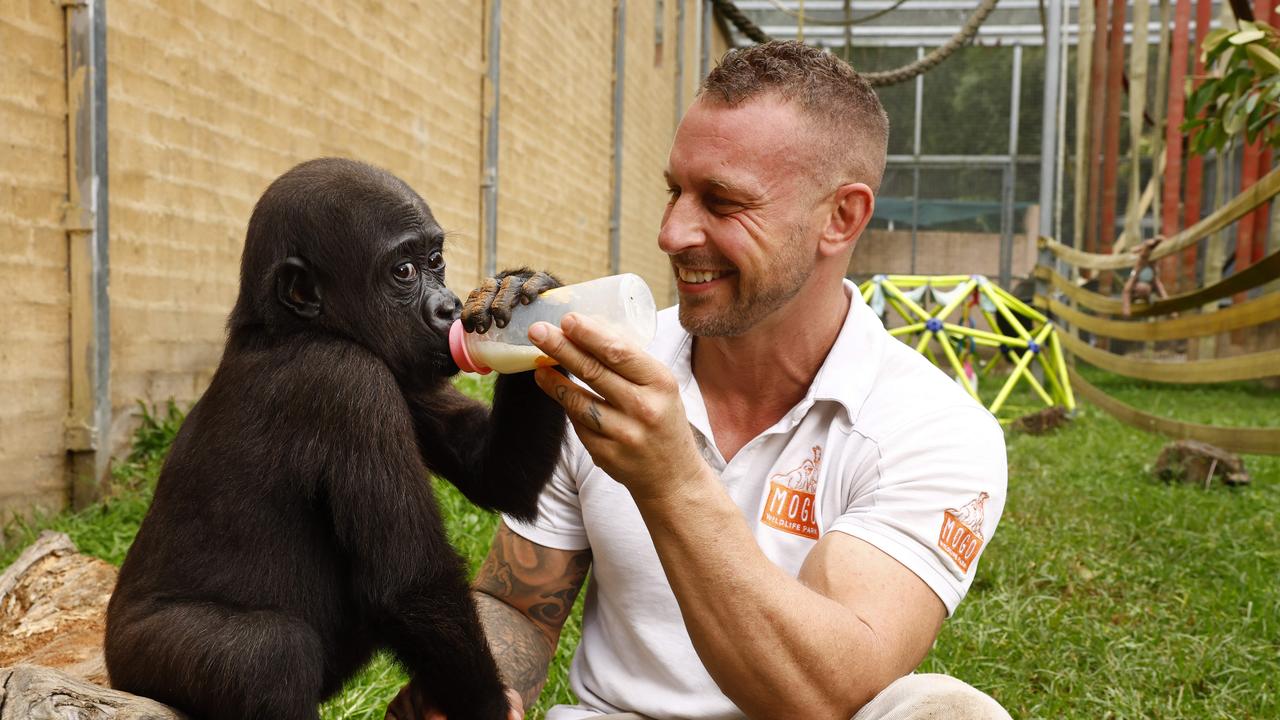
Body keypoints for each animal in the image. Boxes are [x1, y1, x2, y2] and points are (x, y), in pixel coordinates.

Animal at [99, 158, 560, 717]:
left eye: (435, 260)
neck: (286, 328)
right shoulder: (347, 380)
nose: (449, 308)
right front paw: (488, 706)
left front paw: (521, 294)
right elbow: (413, 582)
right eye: (403, 272)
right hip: (140, 658)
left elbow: (495, 472)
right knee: (270, 654)